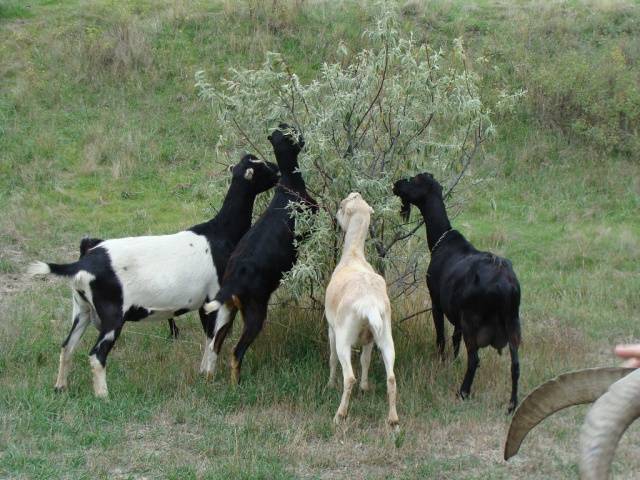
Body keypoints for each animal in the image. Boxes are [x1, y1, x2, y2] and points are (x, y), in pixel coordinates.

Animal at [30, 155, 278, 398]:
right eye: (262, 165)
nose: (277, 170)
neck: (219, 232)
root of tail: (82, 263)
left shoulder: (203, 302)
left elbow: (209, 336)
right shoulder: (214, 297)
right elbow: (213, 337)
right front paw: (208, 374)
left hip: (82, 309)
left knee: (67, 346)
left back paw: (60, 387)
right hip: (112, 316)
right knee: (96, 355)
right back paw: (103, 396)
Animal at [202, 124, 318, 382]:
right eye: (291, 132)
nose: (301, 134)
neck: (289, 186)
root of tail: (232, 283)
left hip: (228, 311)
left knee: (216, 343)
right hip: (255, 313)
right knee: (236, 352)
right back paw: (237, 384)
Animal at [328, 193, 398, 426]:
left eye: (342, 207)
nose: (336, 214)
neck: (353, 256)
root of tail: (370, 304)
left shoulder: (331, 329)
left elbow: (331, 358)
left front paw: (330, 384)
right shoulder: (369, 338)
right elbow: (366, 361)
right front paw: (365, 388)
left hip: (344, 338)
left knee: (349, 377)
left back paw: (340, 415)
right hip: (385, 335)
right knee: (391, 377)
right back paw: (393, 420)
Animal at [392, 172, 524, 412]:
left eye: (414, 180)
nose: (396, 184)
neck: (442, 240)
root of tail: (505, 285)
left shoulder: (436, 302)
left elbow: (441, 337)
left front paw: (440, 361)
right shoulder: (457, 314)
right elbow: (455, 338)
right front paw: (452, 362)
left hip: (474, 320)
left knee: (475, 359)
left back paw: (463, 392)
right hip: (513, 323)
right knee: (516, 364)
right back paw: (512, 404)